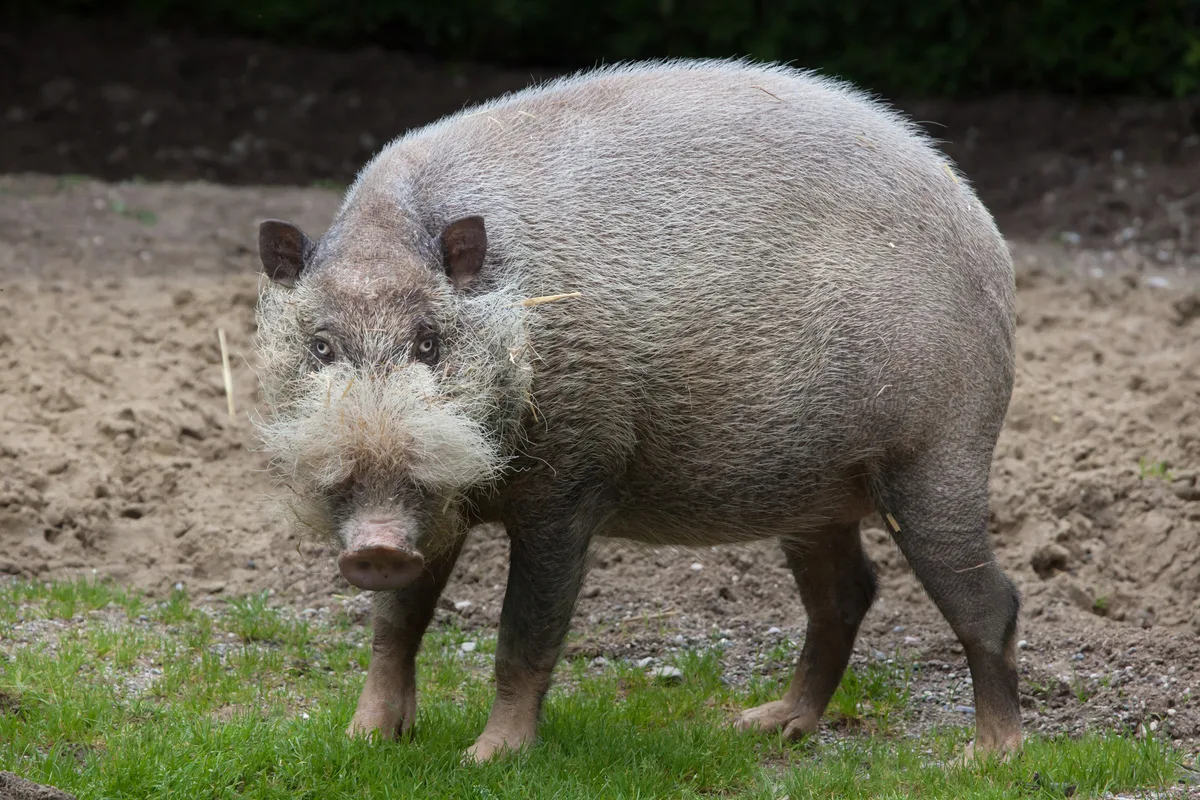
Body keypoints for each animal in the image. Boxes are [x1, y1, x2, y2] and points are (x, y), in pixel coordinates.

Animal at [252, 58, 1021, 763]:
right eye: (320, 345)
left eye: (429, 341)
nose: (377, 546)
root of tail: (990, 242)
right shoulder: (440, 508)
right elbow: (395, 624)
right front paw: (363, 742)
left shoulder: (571, 484)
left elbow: (524, 632)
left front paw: (486, 758)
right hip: (817, 496)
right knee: (846, 595)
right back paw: (763, 727)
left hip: (938, 456)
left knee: (993, 602)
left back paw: (986, 756)